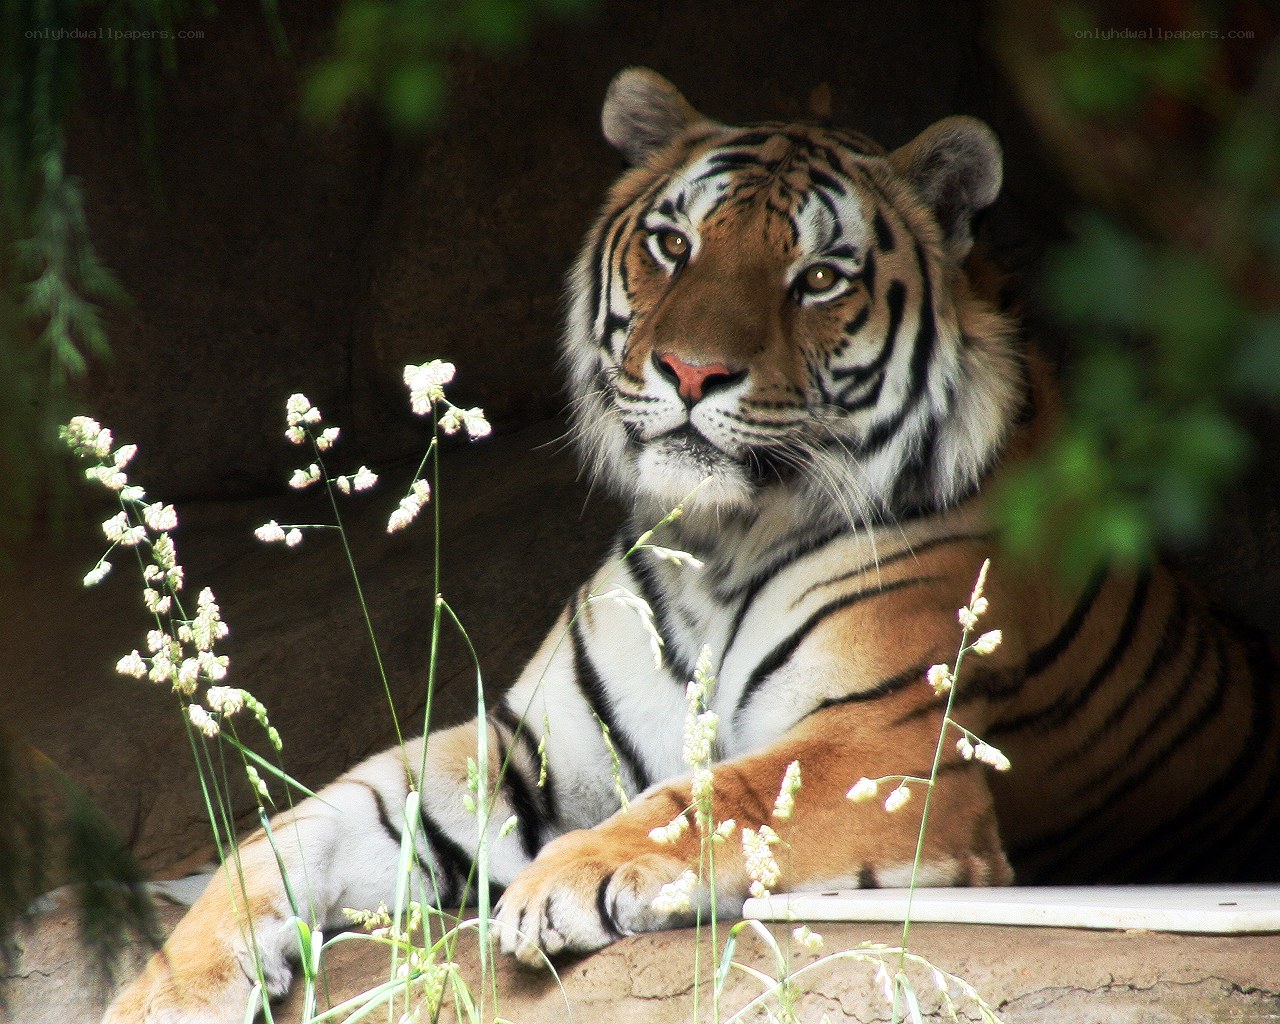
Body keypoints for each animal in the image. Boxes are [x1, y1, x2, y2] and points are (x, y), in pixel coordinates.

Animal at [105, 67, 1279, 1023]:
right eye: (674, 245)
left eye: (818, 278)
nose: (688, 371)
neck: (720, 542)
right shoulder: (529, 750)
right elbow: (295, 829)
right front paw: (165, 989)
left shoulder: (887, 748)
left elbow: (718, 794)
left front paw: (560, 884)